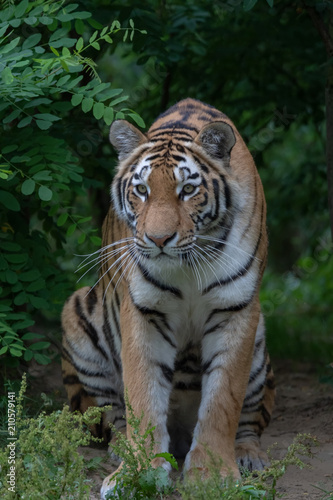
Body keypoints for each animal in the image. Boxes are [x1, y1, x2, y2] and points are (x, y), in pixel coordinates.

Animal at [61, 96, 274, 496]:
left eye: (187, 191)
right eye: (142, 190)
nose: (158, 239)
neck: (189, 264)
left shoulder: (236, 309)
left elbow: (223, 400)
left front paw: (213, 475)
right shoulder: (143, 311)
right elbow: (143, 397)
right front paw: (137, 472)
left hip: (260, 350)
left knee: (252, 421)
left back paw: (248, 456)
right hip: (78, 317)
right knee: (112, 416)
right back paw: (121, 448)